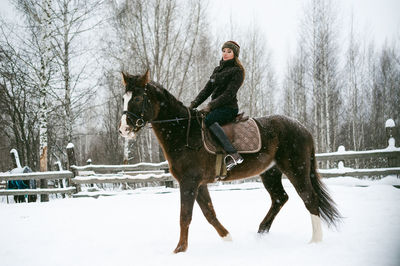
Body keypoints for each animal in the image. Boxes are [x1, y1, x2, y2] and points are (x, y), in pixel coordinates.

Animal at [119, 70, 340, 254]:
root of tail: (302, 128)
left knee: (309, 198)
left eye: (137, 98)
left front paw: (179, 251)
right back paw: (261, 233)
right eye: (123, 98)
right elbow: (209, 213)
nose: (123, 130)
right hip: (270, 172)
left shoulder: (189, 182)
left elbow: (185, 216)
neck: (184, 132)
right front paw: (228, 238)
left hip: (296, 169)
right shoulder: (198, 184)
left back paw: (315, 241)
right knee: (280, 198)